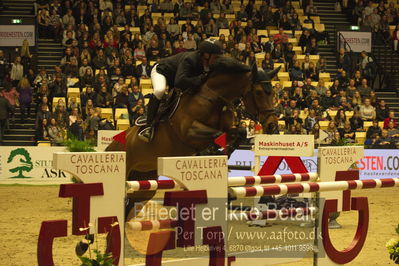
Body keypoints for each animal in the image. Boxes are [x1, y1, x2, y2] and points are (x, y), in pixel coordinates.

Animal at [106, 56, 282, 218]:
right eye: (258, 92)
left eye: (273, 93)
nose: (272, 125)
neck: (215, 97)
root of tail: (111, 146)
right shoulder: (189, 132)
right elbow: (218, 135)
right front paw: (210, 152)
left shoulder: (228, 127)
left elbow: (239, 133)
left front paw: (222, 154)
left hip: (145, 180)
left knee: (130, 206)